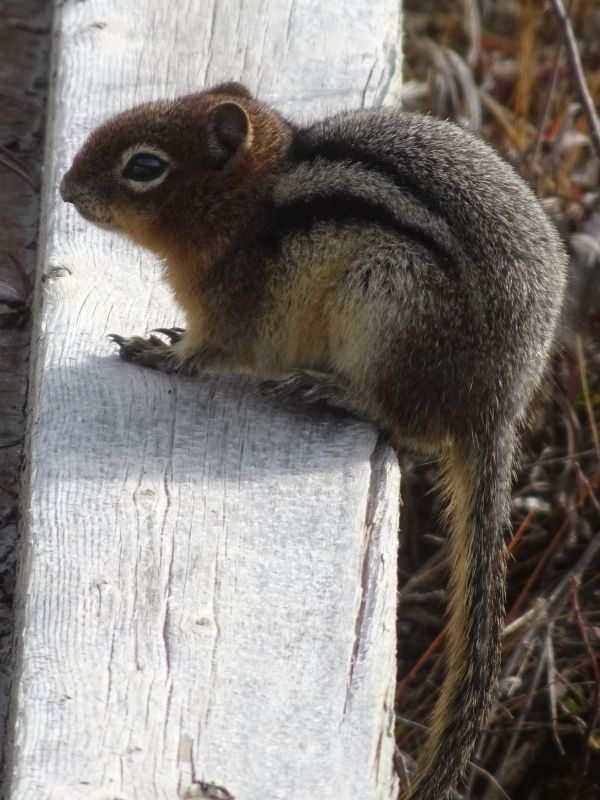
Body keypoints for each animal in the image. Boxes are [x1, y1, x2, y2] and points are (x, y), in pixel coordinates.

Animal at [59, 83, 568, 800]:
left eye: (145, 167)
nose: (66, 188)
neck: (248, 206)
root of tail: (499, 405)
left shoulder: (231, 316)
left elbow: (203, 353)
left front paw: (156, 352)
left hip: (387, 301)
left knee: (408, 423)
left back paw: (330, 389)